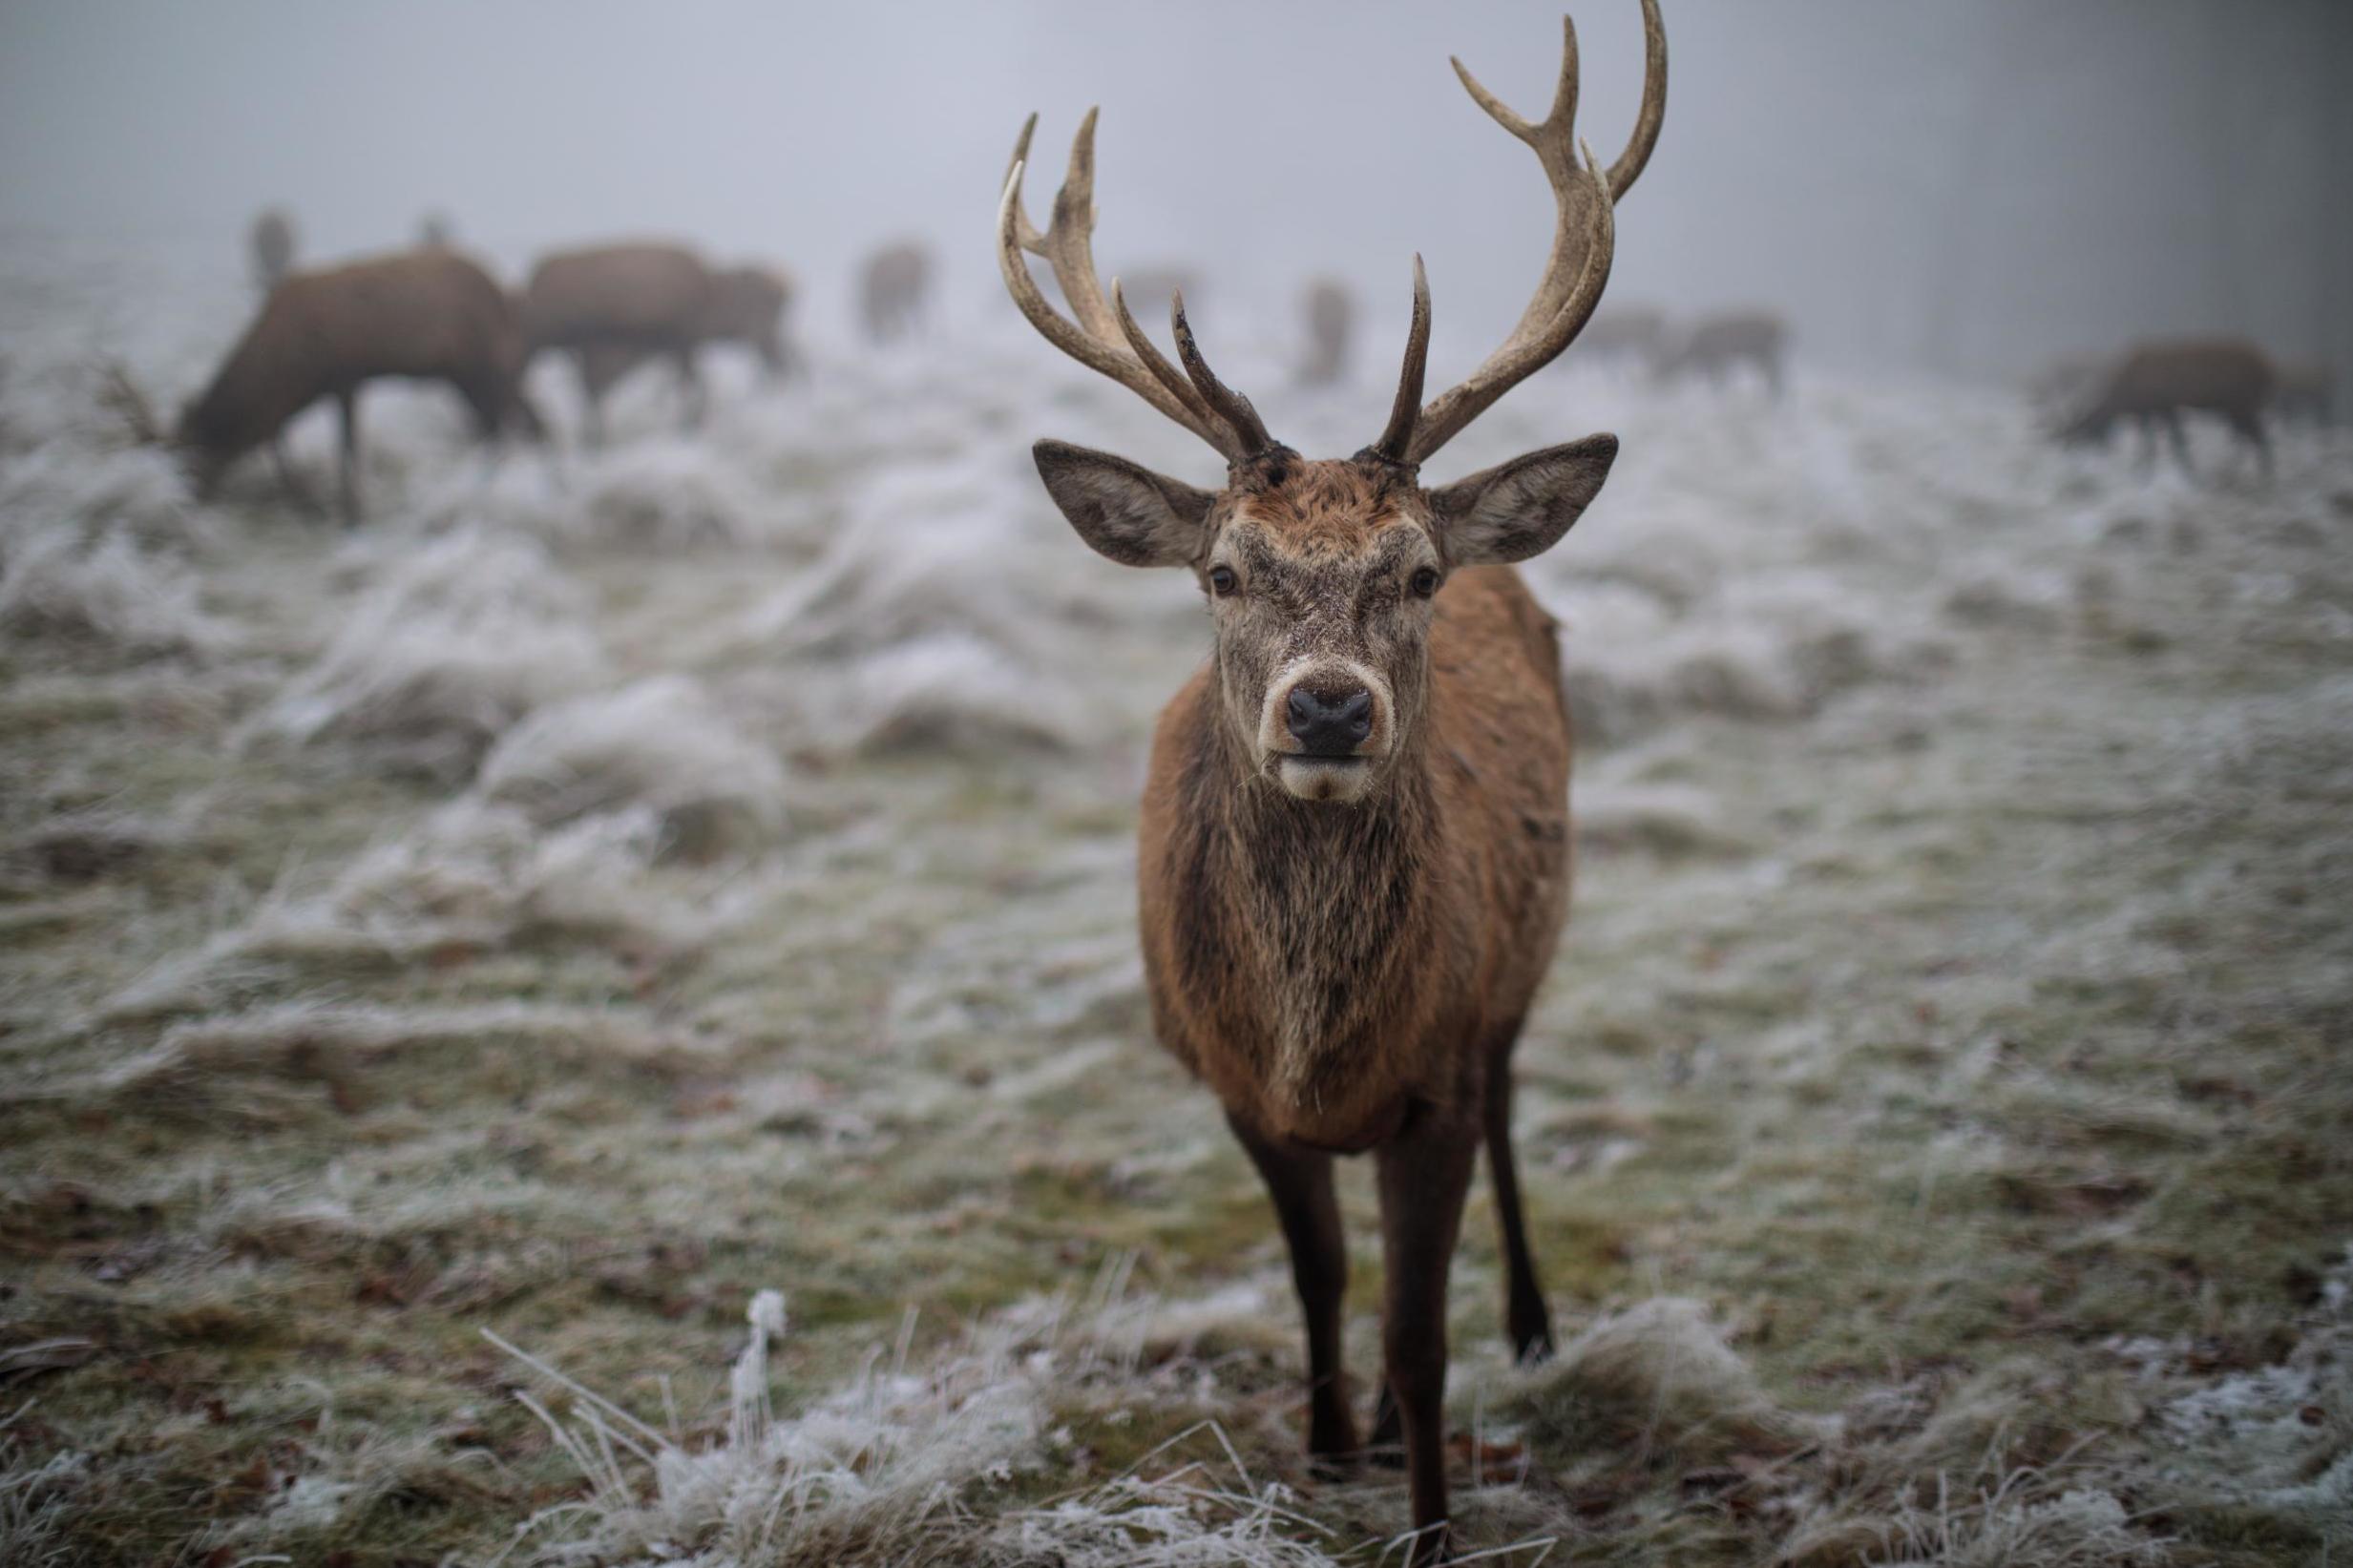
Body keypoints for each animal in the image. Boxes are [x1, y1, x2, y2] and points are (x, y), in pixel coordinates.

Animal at [1002, 3, 1666, 1560]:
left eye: (1415, 572)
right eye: (1222, 569)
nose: (1324, 703)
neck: (1322, 1047)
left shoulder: (1437, 1079)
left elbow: (1422, 1337)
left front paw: (1427, 1518)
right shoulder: (1233, 1085)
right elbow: (1315, 1279)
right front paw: (1325, 1442)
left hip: (1526, 960)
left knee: (1517, 1110)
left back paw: (1534, 1324)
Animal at [1656, 305, 1778, 392]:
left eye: (1665, 366)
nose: (1657, 383)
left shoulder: (1716, 357)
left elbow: (1718, 378)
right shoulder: (1714, 360)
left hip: (1762, 350)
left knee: (1772, 371)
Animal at [2061, 345, 2278, 481]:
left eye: (2082, 434)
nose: (2071, 456)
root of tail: (2266, 369)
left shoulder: (2164, 406)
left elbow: (2172, 442)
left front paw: (2188, 473)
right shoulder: (2155, 410)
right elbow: (2157, 443)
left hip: (2241, 403)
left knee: (2258, 437)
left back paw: (2263, 475)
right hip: (2235, 407)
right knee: (2250, 436)